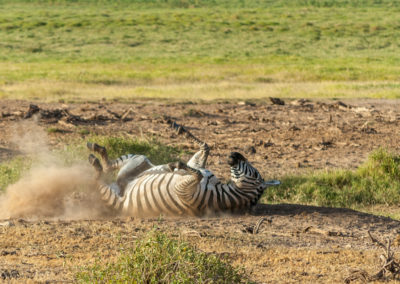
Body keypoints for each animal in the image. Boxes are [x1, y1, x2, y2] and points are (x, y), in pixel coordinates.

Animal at [87, 122, 282, 217]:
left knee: (98, 179)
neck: (222, 191)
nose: (235, 153)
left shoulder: (184, 192)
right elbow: (205, 148)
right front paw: (179, 129)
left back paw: (95, 161)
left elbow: (195, 173)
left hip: (114, 196)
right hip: (139, 159)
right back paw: (96, 149)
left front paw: (177, 165)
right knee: (110, 165)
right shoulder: (198, 166)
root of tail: (120, 185)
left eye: (255, 173)